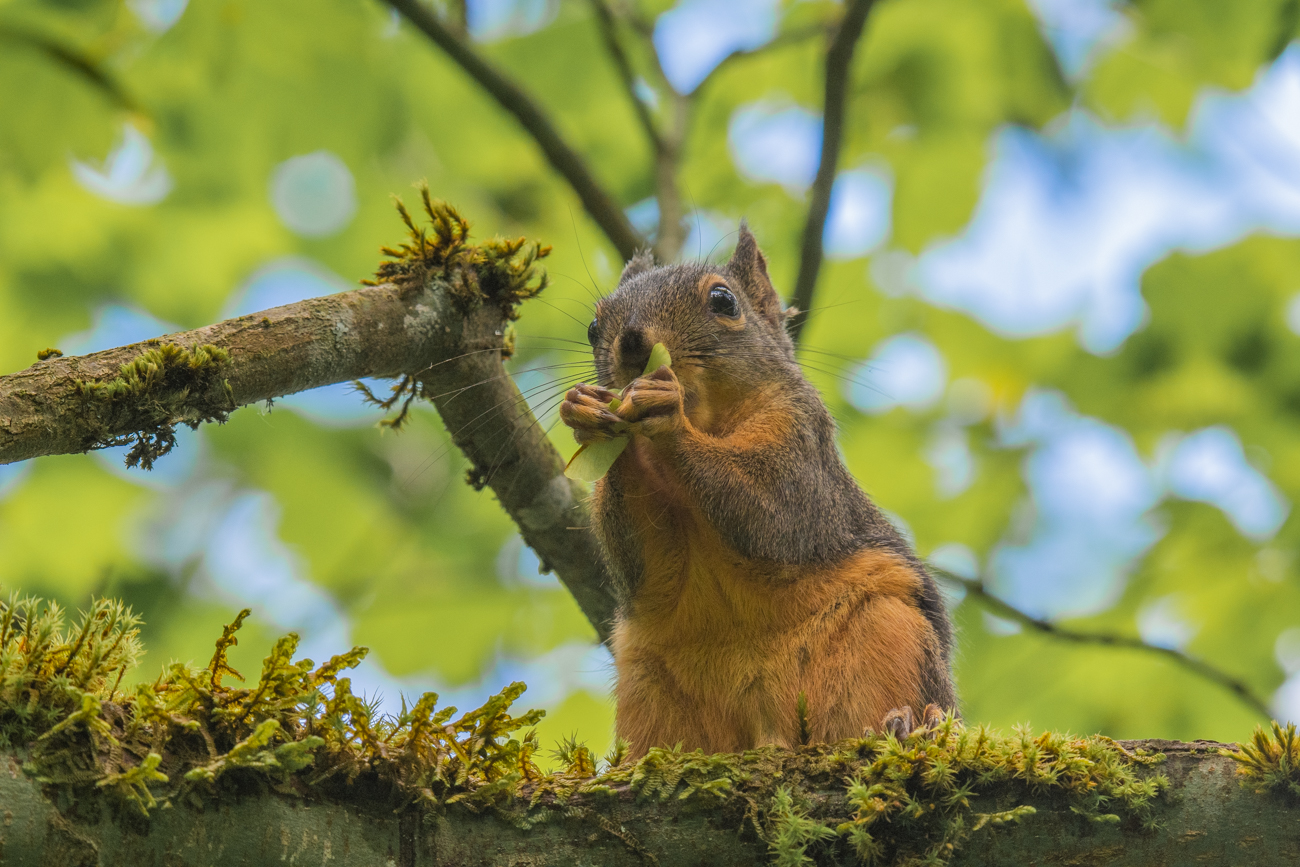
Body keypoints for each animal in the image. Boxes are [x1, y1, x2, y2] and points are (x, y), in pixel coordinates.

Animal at [559, 227, 956, 753]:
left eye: (724, 300)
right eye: (592, 326)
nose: (633, 344)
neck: (711, 421)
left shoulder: (802, 448)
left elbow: (773, 514)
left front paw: (668, 414)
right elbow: (640, 562)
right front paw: (586, 409)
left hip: (890, 634)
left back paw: (912, 725)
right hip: (648, 689)